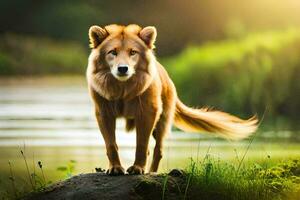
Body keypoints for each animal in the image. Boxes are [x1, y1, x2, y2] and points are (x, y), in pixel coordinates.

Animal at [85, 24, 258, 175]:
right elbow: (111, 144)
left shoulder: (148, 112)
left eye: (133, 52)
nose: (122, 68)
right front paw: (115, 168)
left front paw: (138, 169)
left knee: (158, 150)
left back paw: (152, 172)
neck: (123, 89)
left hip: (161, 122)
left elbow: (141, 145)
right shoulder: (104, 113)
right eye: (112, 52)